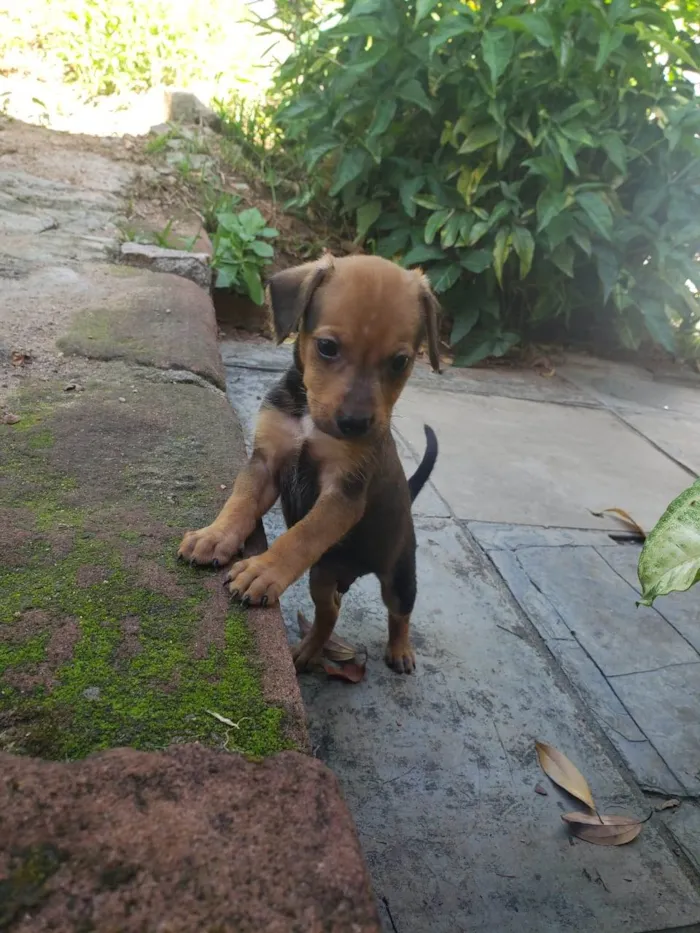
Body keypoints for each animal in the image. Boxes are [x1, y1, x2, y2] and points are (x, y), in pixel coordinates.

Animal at [178, 251, 440, 672]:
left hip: (399, 574)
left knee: (400, 612)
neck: (308, 419)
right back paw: (307, 652)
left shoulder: (342, 494)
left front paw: (262, 570)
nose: (355, 425)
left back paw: (400, 650)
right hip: (322, 572)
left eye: (400, 362)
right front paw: (215, 536)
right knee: (330, 611)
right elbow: (239, 503)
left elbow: (301, 536)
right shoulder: (266, 463)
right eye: (328, 347)